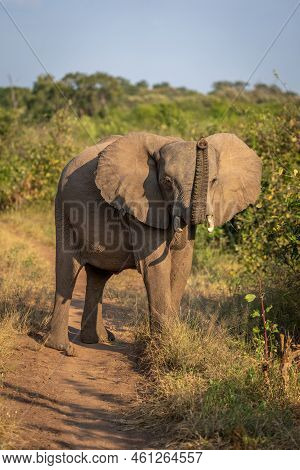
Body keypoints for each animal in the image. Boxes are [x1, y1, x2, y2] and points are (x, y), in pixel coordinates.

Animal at [45, 130, 260, 354]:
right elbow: (156, 266)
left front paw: (171, 339)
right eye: (167, 181)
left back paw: (99, 339)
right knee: (68, 270)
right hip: (64, 209)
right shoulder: (141, 206)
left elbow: (182, 264)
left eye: (214, 181)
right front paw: (164, 345)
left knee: (99, 276)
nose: (201, 143)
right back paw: (63, 347)